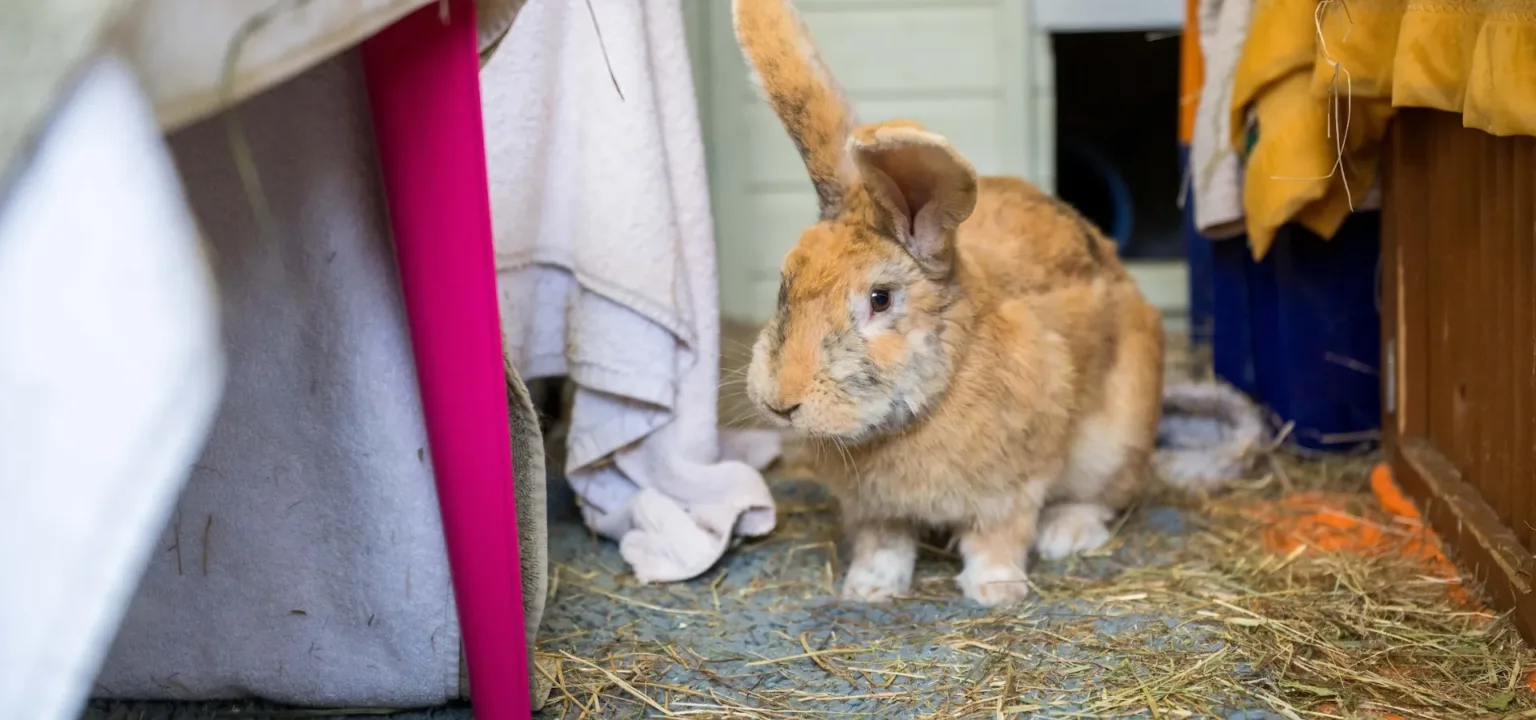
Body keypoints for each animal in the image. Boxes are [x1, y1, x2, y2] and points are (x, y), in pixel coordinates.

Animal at [732, 0, 1166, 607]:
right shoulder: (875, 513)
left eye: (880, 299)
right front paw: (868, 590)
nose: (780, 402)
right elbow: (885, 546)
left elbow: (998, 538)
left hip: (1115, 441)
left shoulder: (1012, 488)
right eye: (783, 283)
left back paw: (1066, 534)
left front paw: (995, 590)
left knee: (1104, 497)